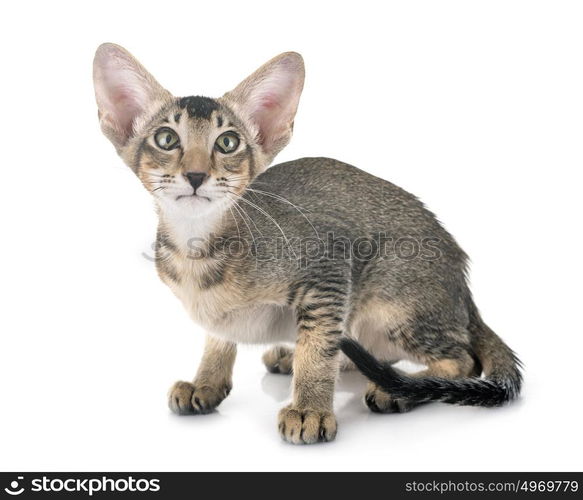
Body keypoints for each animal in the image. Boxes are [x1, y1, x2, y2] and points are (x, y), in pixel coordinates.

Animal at [93, 42, 524, 442]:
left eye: (227, 143)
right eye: (166, 138)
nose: (196, 175)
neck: (196, 252)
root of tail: (462, 282)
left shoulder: (328, 270)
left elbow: (318, 351)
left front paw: (310, 410)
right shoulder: (220, 312)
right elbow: (219, 340)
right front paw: (207, 383)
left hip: (397, 302)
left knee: (462, 359)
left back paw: (399, 389)